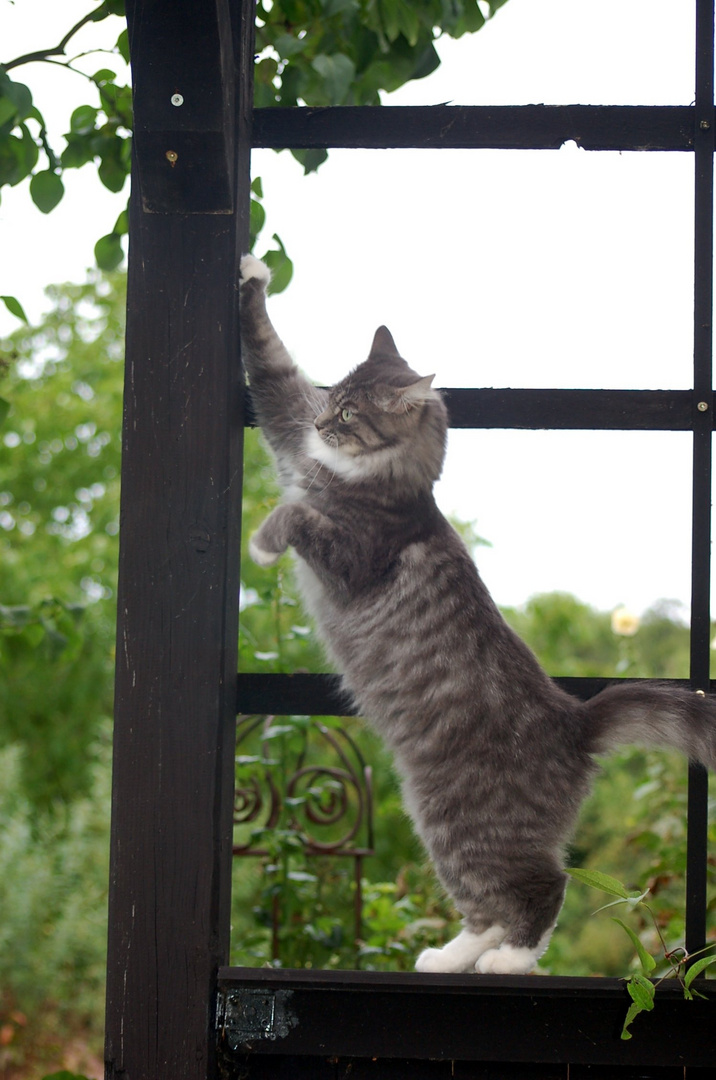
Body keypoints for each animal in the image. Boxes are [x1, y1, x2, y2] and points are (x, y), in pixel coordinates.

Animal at [240, 254, 716, 980]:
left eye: (348, 410)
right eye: (330, 397)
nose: (323, 425)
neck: (380, 480)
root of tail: (576, 721)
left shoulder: (354, 557)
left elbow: (297, 516)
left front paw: (264, 542)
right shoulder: (290, 430)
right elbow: (270, 364)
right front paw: (252, 275)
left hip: (457, 820)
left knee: (544, 887)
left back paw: (510, 962)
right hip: (446, 827)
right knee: (487, 906)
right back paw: (447, 957)